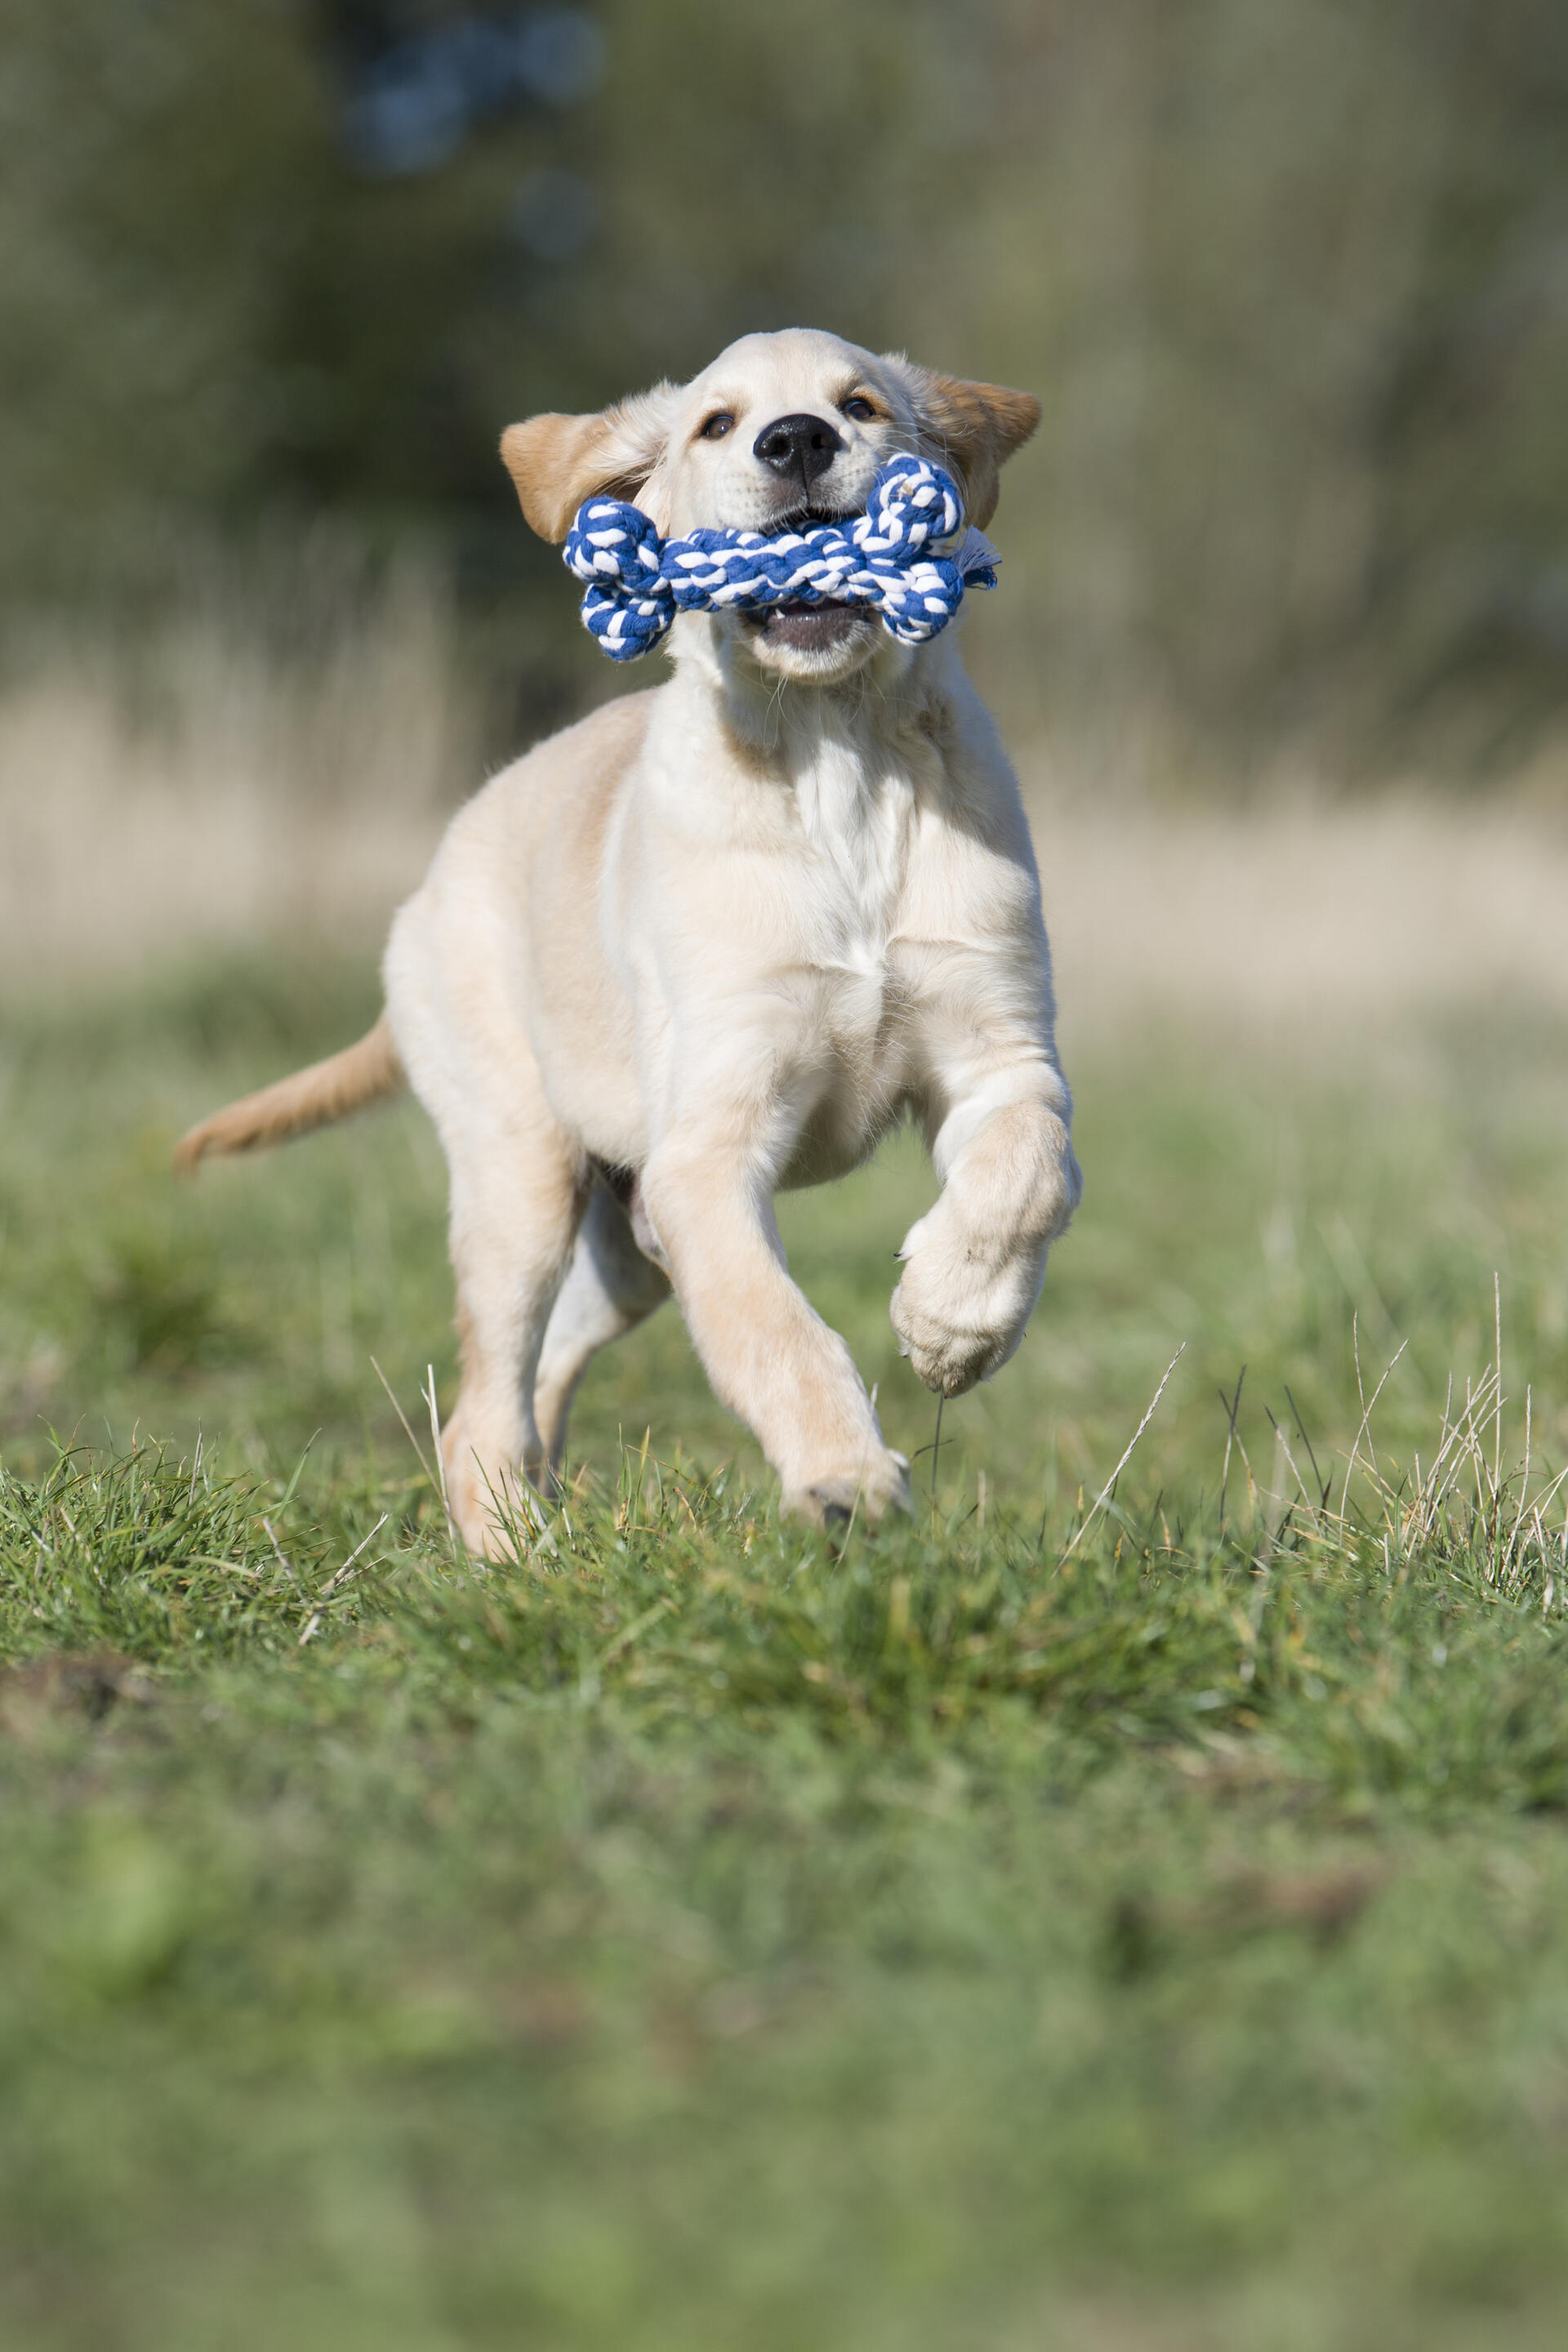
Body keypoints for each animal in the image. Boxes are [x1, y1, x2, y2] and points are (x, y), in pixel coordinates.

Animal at [172, 327, 1081, 1543]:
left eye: (862, 405)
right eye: (716, 424)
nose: (799, 441)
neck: (833, 750)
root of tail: (425, 891)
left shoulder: (1002, 1052)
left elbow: (1029, 1173)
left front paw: (953, 1321)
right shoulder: (709, 1147)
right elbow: (772, 1325)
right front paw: (843, 1474)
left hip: (627, 1237)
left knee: (549, 1368)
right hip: (520, 1177)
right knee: (481, 1406)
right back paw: (513, 1552)